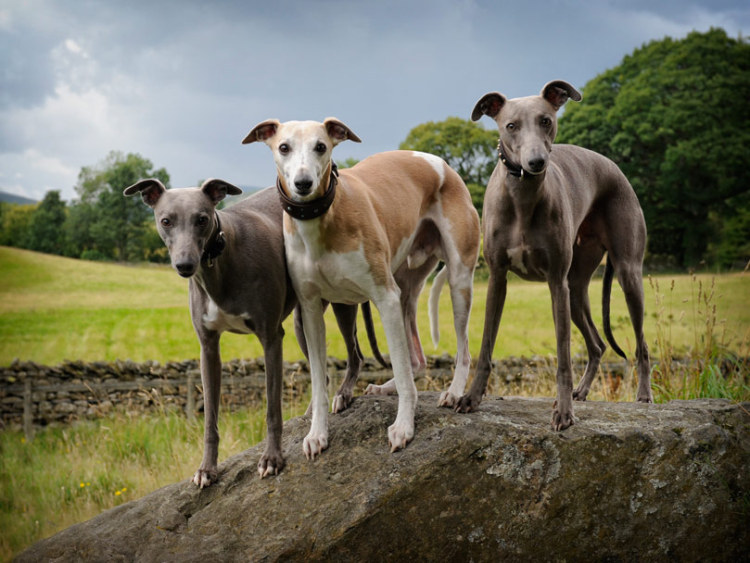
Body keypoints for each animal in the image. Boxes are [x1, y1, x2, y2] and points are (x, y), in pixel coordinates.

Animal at [125, 180, 382, 484]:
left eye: (202, 219)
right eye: (166, 221)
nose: (185, 265)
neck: (222, 259)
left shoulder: (271, 338)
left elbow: (272, 410)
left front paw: (272, 459)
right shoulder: (208, 348)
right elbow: (210, 418)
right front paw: (206, 469)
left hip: (340, 303)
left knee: (355, 354)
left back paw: (343, 395)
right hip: (303, 322)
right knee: (323, 371)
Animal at [247, 119, 482, 458]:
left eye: (321, 146)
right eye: (284, 147)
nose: (303, 183)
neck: (324, 219)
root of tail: (443, 165)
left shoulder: (384, 297)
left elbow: (400, 367)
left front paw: (403, 427)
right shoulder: (310, 311)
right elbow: (319, 381)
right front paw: (317, 434)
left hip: (457, 279)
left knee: (459, 351)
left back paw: (452, 392)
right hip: (405, 288)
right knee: (416, 361)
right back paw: (385, 387)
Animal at [458, 80, 652, 432]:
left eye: (546, 120)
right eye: (511, 126)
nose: (536, 162)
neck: (523, 199)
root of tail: (615, 167)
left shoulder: (554, 282)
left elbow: (563, 357)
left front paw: (562, 412)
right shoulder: (497, 278)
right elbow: (486, 344)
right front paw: (471, 398)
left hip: (625, 274)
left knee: (640, 343)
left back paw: (643, 395)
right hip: (575, 289)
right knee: (597, 344)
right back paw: (582, 391)